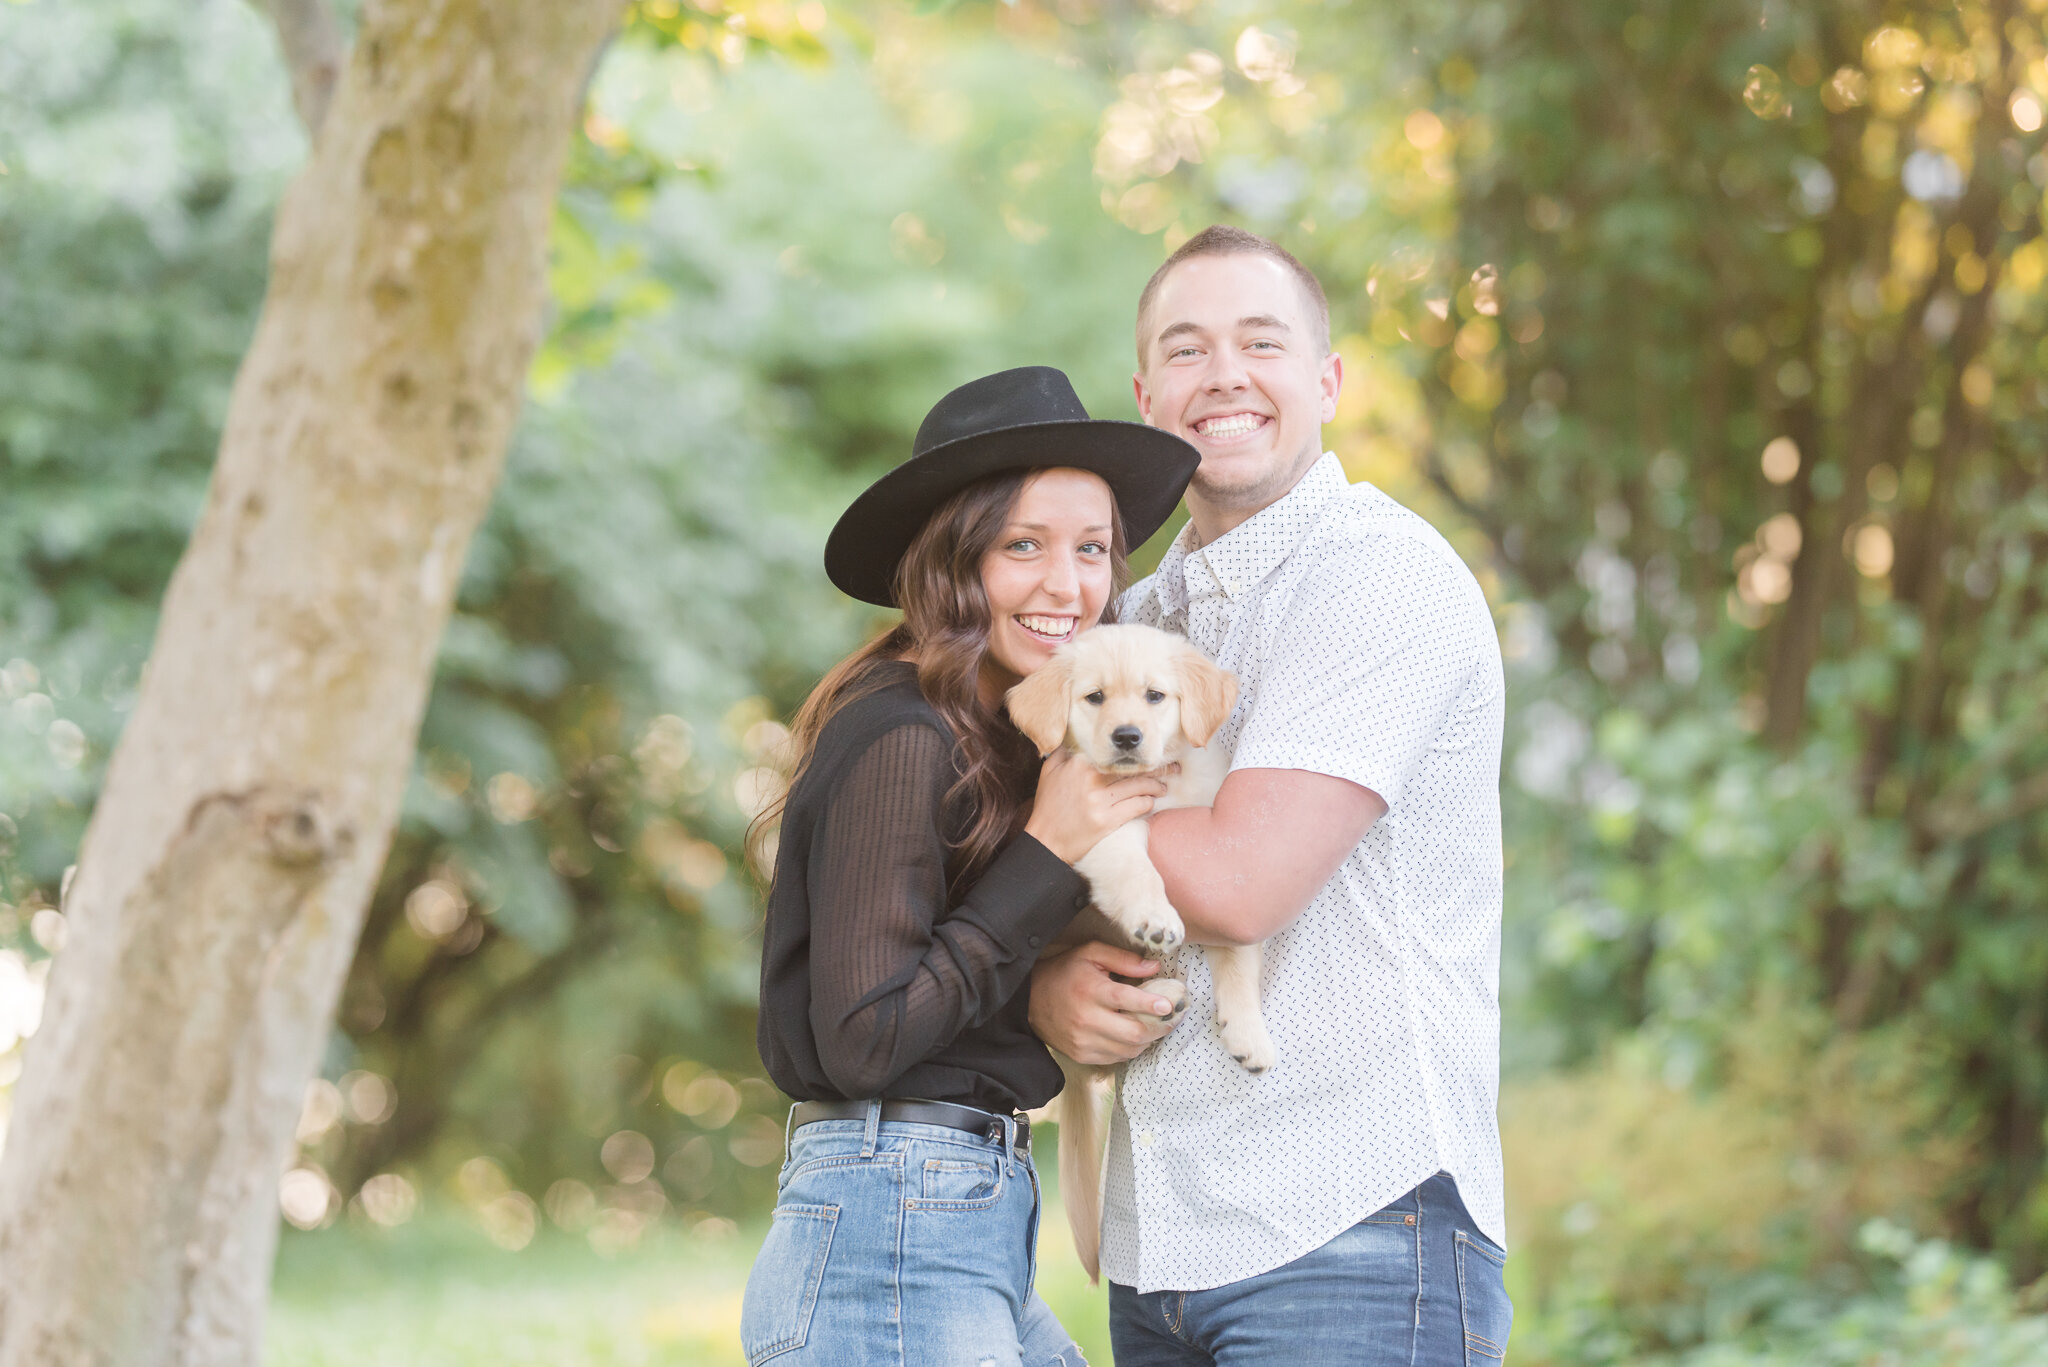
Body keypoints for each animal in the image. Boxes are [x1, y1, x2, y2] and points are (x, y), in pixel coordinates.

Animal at [1003, 627, 1269, 1278]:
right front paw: (1154, 918)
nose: (1127, 737)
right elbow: (1136, 865)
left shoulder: (1222, 860)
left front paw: (1247, 1029)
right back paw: (1162, 991)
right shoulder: (1099, 831)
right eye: (1095, 697)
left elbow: (1237, 954)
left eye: (1155, 696)